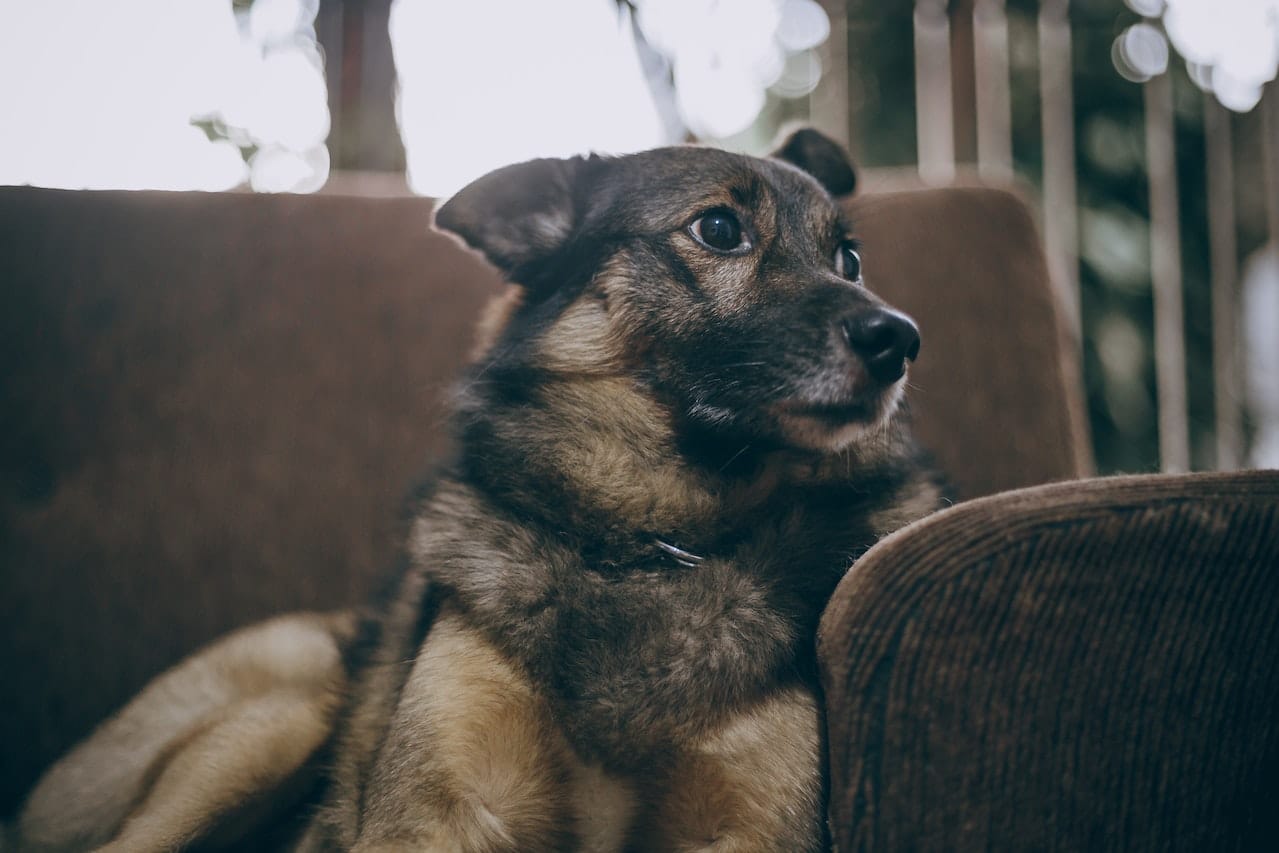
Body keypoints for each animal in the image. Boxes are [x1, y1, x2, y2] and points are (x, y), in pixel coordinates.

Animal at [15, 128, 946, 853]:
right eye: (719, 229)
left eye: (849, 256)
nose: (899, 338)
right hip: (277, 718)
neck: (653, 540)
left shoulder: (753, 826)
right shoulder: (429, 815)